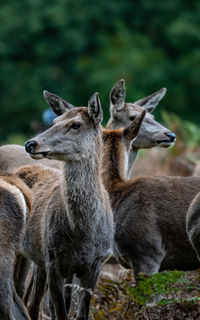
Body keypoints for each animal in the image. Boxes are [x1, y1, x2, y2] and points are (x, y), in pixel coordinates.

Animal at [13, 92, 114, 320]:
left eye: (75, 124)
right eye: (54, 121)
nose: (30, 143)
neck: (83, 233)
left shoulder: (96, 263)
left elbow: (80, 313)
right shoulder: (54, 262)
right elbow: (60, 312)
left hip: (36, 259)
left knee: (27, 299)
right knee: (26, 300)